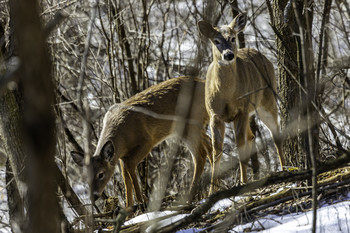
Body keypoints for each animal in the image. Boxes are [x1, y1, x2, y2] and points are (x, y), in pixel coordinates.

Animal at [70, 75, 212, 207]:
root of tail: (205, 83)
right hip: (196, 126)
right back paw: (212, 190)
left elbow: (130, 165)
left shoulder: (147, 141)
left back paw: (190, 198)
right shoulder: (120, 155)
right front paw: (129, 207)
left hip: (190, 124)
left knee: (200, 156)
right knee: (210, 144)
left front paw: (142, 201)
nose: (94, 196)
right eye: (86, 177)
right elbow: (125, 176)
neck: (123, 136)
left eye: (101, 174)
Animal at [198, 12, 286, 191]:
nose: (228, 55)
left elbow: (239, 145)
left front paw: (243, 180)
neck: (226, 95)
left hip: (267, 101)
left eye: (232, 38)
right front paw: (212, 190)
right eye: (216, 41)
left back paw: (285, 168)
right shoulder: (214, 116)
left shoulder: (241, 110)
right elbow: (216, 151)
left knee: (275, 134)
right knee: (251, 135)